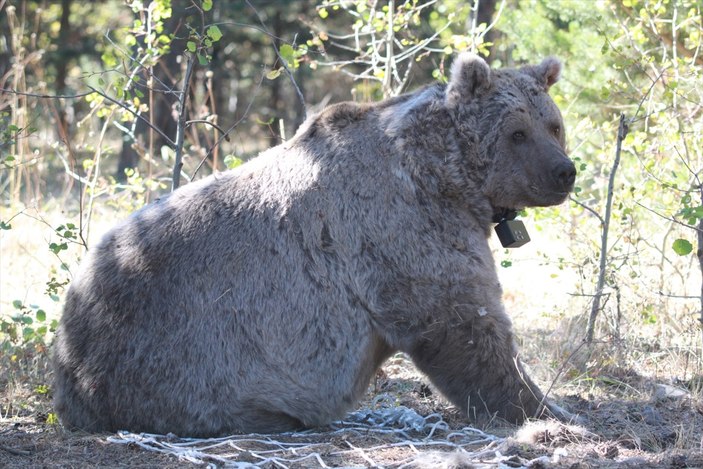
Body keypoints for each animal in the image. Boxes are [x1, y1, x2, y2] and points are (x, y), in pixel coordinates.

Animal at [51, 53, 576, 436]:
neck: (449, 176)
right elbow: (464, 323)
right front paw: (544, 409)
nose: (563, 172)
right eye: (516, 132)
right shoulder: (401, 230)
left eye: (553, 125)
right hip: (179, 358)